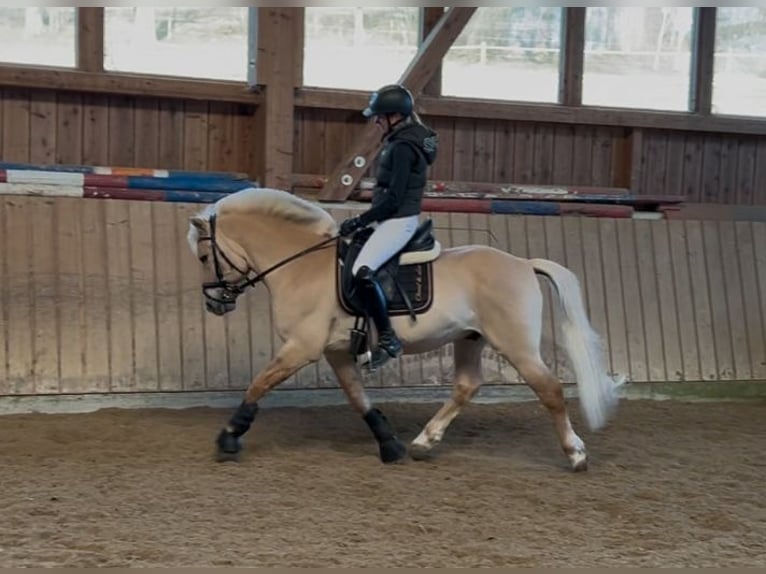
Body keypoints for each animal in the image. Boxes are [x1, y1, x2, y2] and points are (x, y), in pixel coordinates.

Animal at [188, 188, 624, 472]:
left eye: (206, 256)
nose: (214, 303)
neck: (302, 264)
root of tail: (521, 262)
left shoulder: (302, 346)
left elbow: (258, 385)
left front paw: (228, 437)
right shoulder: (335, 350)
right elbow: (358, 398)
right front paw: (390, 444)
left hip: (515, 345)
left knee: (549, 390)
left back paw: (576, 454)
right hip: (471, 339)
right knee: (466, 386)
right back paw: (423, 442)